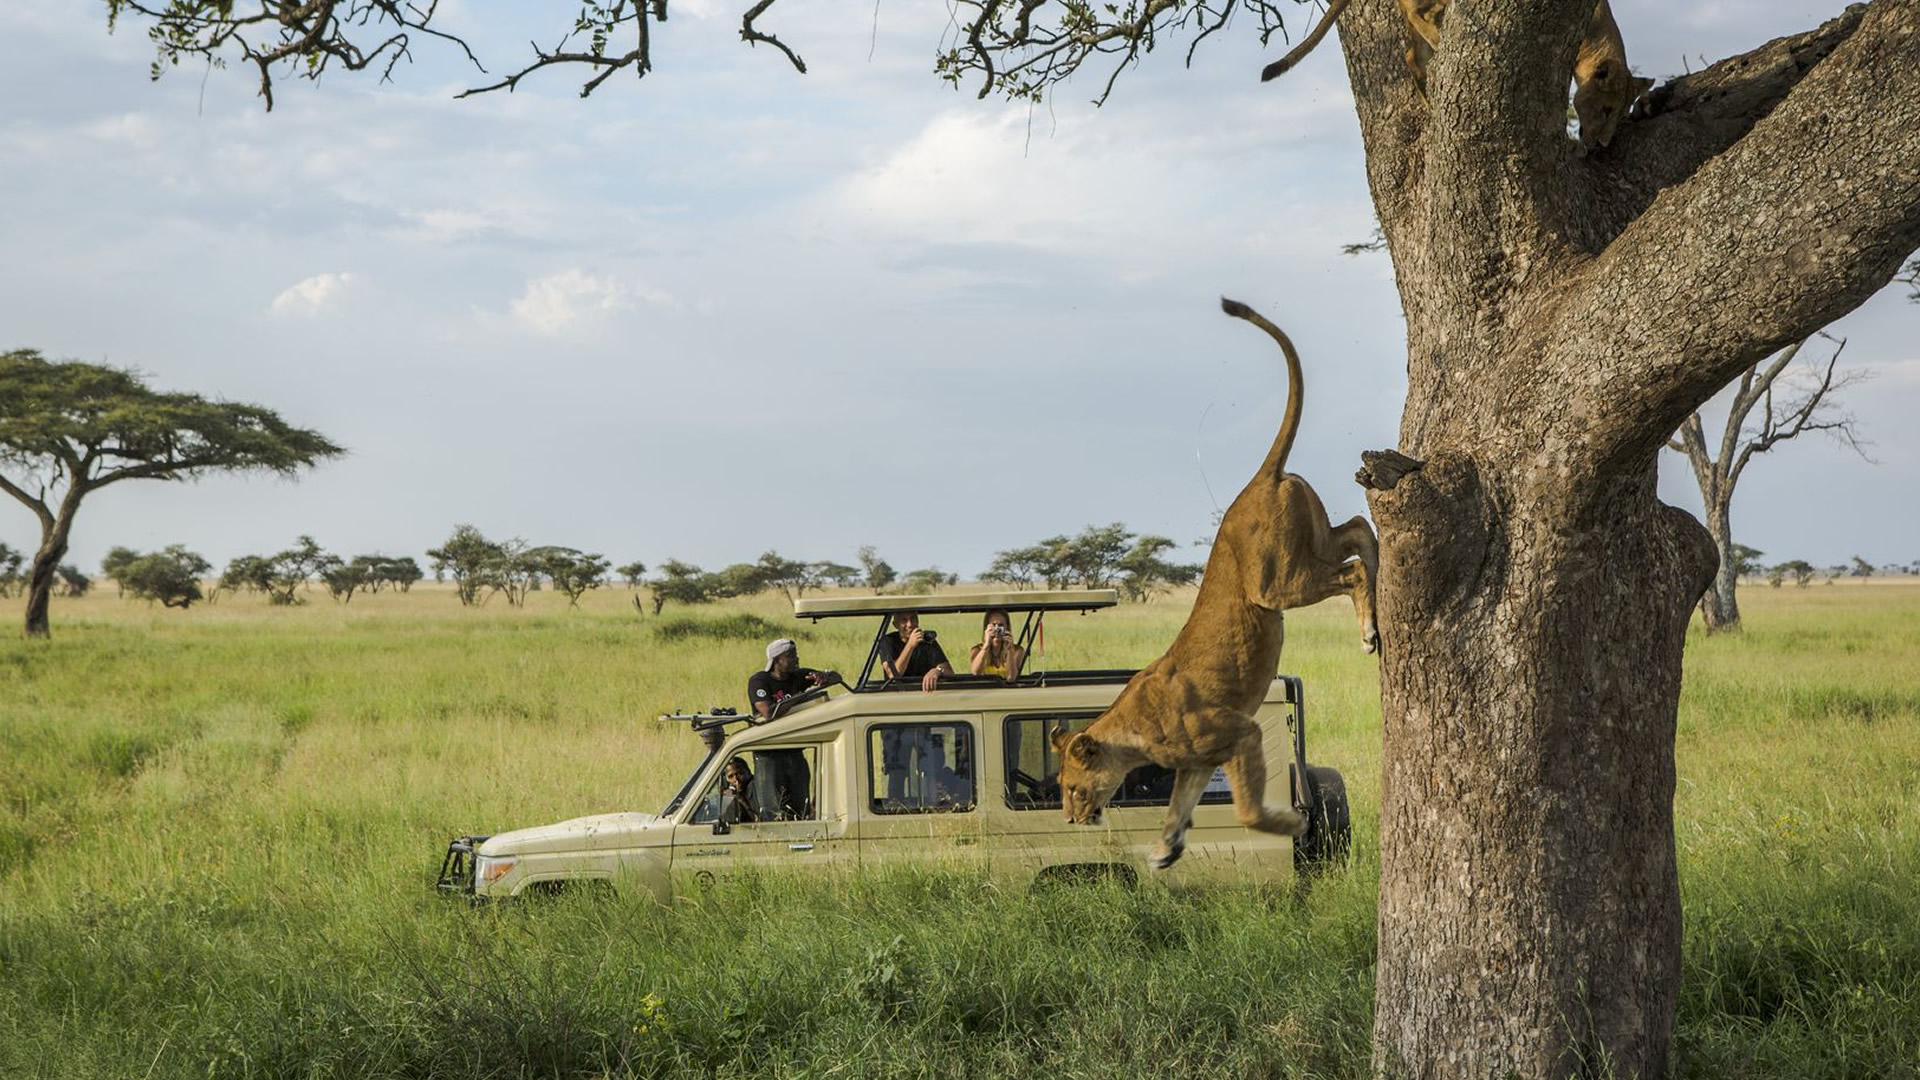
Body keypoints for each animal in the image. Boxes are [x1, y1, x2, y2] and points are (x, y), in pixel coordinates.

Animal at [1051, 298, 1379, 870]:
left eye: (1072, 787)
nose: (1071, 819)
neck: (1131, 732)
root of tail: (1259, 479)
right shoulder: (1198, 762)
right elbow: (1178, 807)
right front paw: (1165, 850)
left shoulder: (1238, 731)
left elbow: (1248, 810)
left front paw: (1292, 823)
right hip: (1311, 539)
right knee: (1360, 529)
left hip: (1276, 585)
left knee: (1353, 570)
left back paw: (1369, 634)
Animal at [1259, 0, 1652, 150]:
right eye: (1606, 109)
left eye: (1619, 113)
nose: (1604, 144)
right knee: (1419, 19)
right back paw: (1439, 39)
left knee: (1411, 54)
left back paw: (1429, 93)